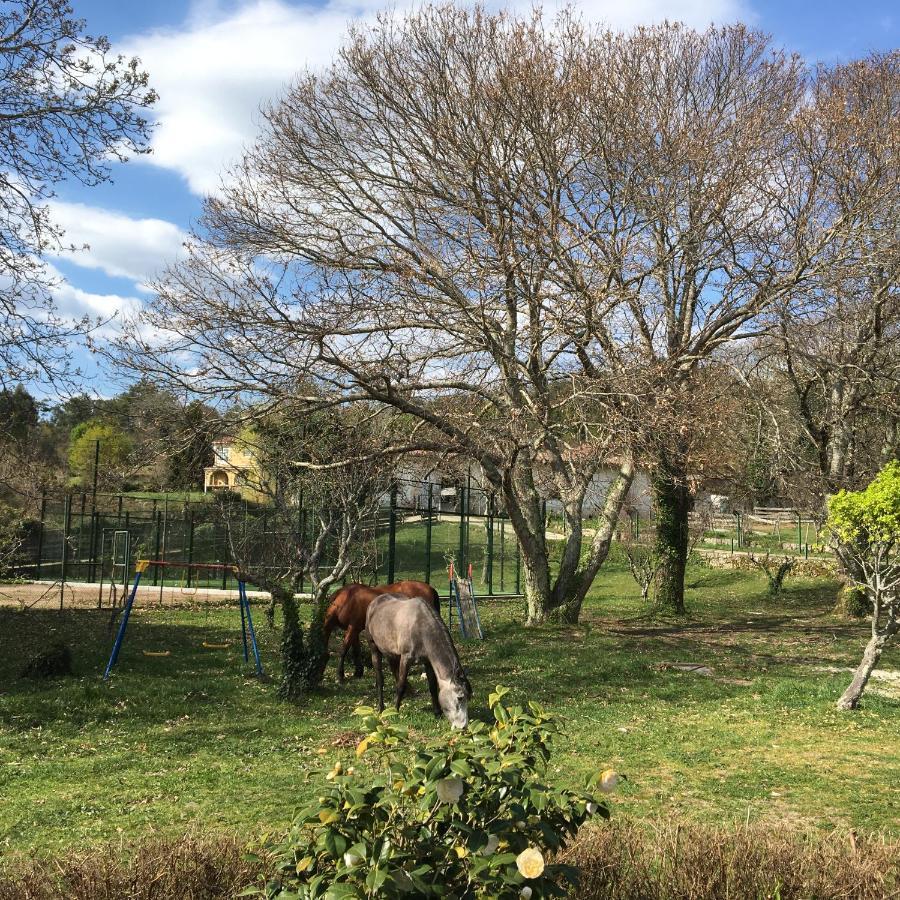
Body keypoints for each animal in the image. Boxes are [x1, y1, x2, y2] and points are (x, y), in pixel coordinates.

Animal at [366, 592, 474, 732]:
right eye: (460, 698)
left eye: (469, 697)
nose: (463, 727)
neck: (421, 628)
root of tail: (375, 601)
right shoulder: (406, 658)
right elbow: (400, 686)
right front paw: (394, 711)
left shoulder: (428, 662)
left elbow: (432, 686)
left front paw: (437, 712)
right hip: (374, 648)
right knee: (380, 679)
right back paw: (381, 707)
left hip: (392, 653)